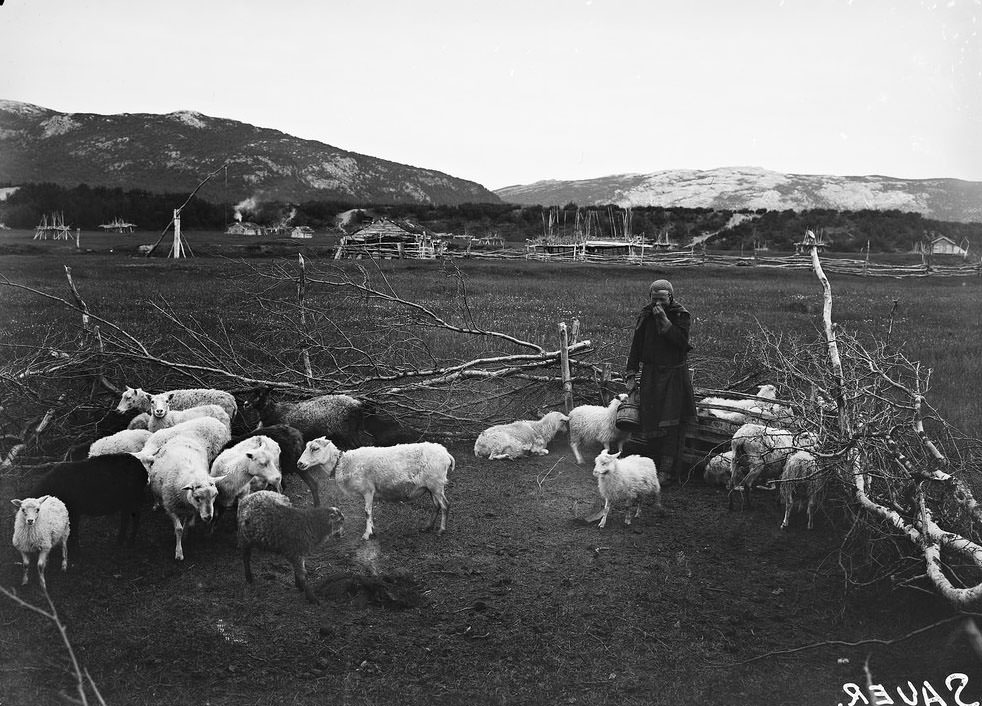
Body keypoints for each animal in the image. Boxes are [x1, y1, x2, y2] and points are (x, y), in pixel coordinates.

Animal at [148, 432, 227, 560]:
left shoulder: (190, 509)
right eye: (197, 498)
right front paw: (179, 552)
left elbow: (185, 525)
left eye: (215, 495)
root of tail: (183, 435)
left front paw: (185, 535)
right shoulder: (170, 508)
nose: (208, 517)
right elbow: (178, 528)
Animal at [298, 434, 456, 540]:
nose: (299, 463)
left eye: (315, 448)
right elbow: (370, 512)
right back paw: (427, 527)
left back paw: (441, 530)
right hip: (431, 487)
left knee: (445, 505)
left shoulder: (368, 490)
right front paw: (372, 528)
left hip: (436, 484)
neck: (341, 463)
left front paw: (367, 533)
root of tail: (446, 454)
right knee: (436, 506)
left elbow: (367, 511)